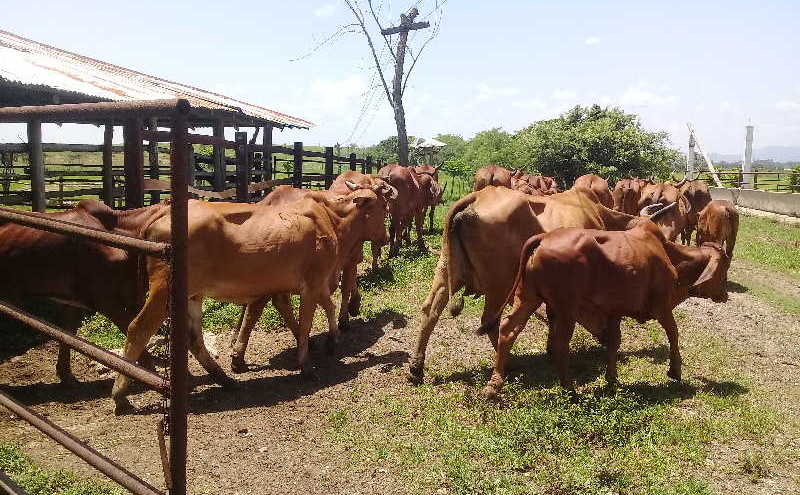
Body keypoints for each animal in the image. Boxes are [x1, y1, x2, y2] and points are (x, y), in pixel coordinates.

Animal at [109, 190, 390, 414]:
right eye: (384, 207)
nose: (386, 238)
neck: (331, 221)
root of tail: (162, 212)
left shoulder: (318, 283)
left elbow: (329, 308)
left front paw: (332, 340)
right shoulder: (312, 283)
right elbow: (306, 322)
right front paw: (306, 365)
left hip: (192, 296)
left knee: (193, 338)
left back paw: (224, 378)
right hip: (164, 290)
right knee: (138, 329)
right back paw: (120, 394)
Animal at [406, 186, 668, 384]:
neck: (598, 215)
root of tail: (479, 196)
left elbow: (553, 314)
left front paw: (551, 348)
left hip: (444, 272)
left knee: (430, 311)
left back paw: (416, 367)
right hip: (499, 283)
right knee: (491, 321)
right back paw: (510, 363)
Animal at [478, 221, 728, 400]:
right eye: (724, 267)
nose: (725, 295)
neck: (668, 254)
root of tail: (544, 237)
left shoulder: (613, 312)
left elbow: (614, 342)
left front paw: (612, 379)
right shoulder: (662, 306)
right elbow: (673, 333)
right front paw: (675, 371)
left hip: (528, 298)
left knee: (508, 329)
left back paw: (494, 385)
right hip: (565, 308)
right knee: (560, 345)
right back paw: (569, 388)